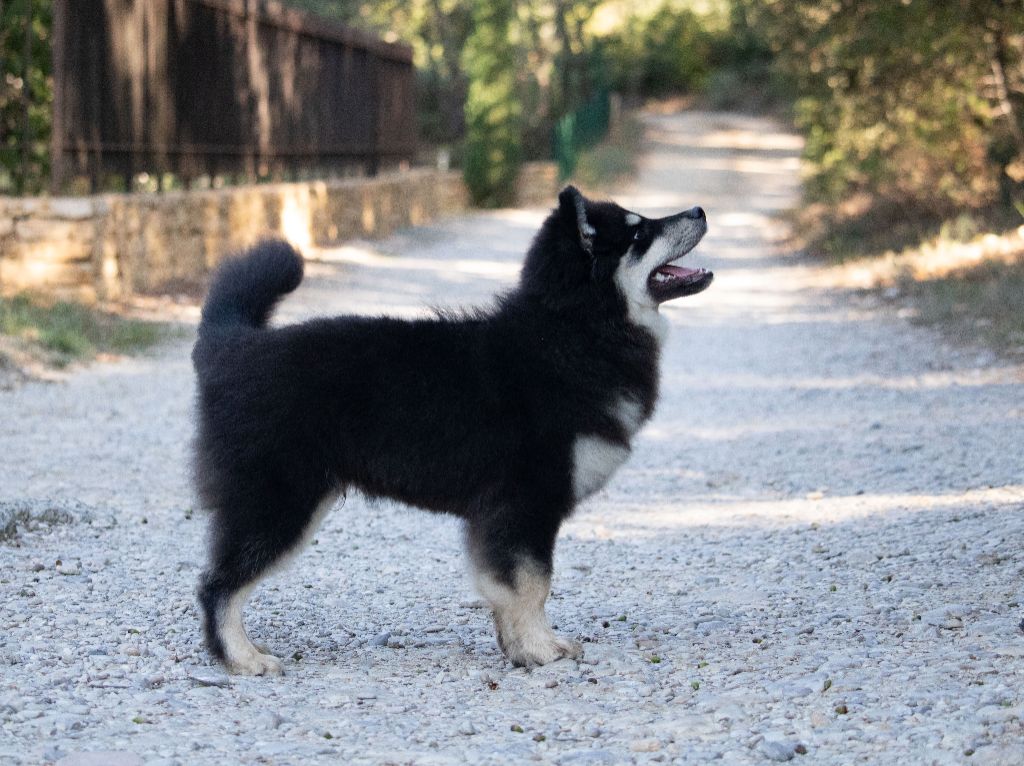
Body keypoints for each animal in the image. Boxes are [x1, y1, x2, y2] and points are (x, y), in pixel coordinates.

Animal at [195, 187, 712, 675]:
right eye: (638, 232)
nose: (700, 210)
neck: (575, 332)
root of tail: (237, 346)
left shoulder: (503, 515)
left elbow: (508, 587)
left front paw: (517, 646)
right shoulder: (525, 502)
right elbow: (533, 581)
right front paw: (540, 648)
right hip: (278, 502)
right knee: (217, 585)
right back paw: (241, 657)